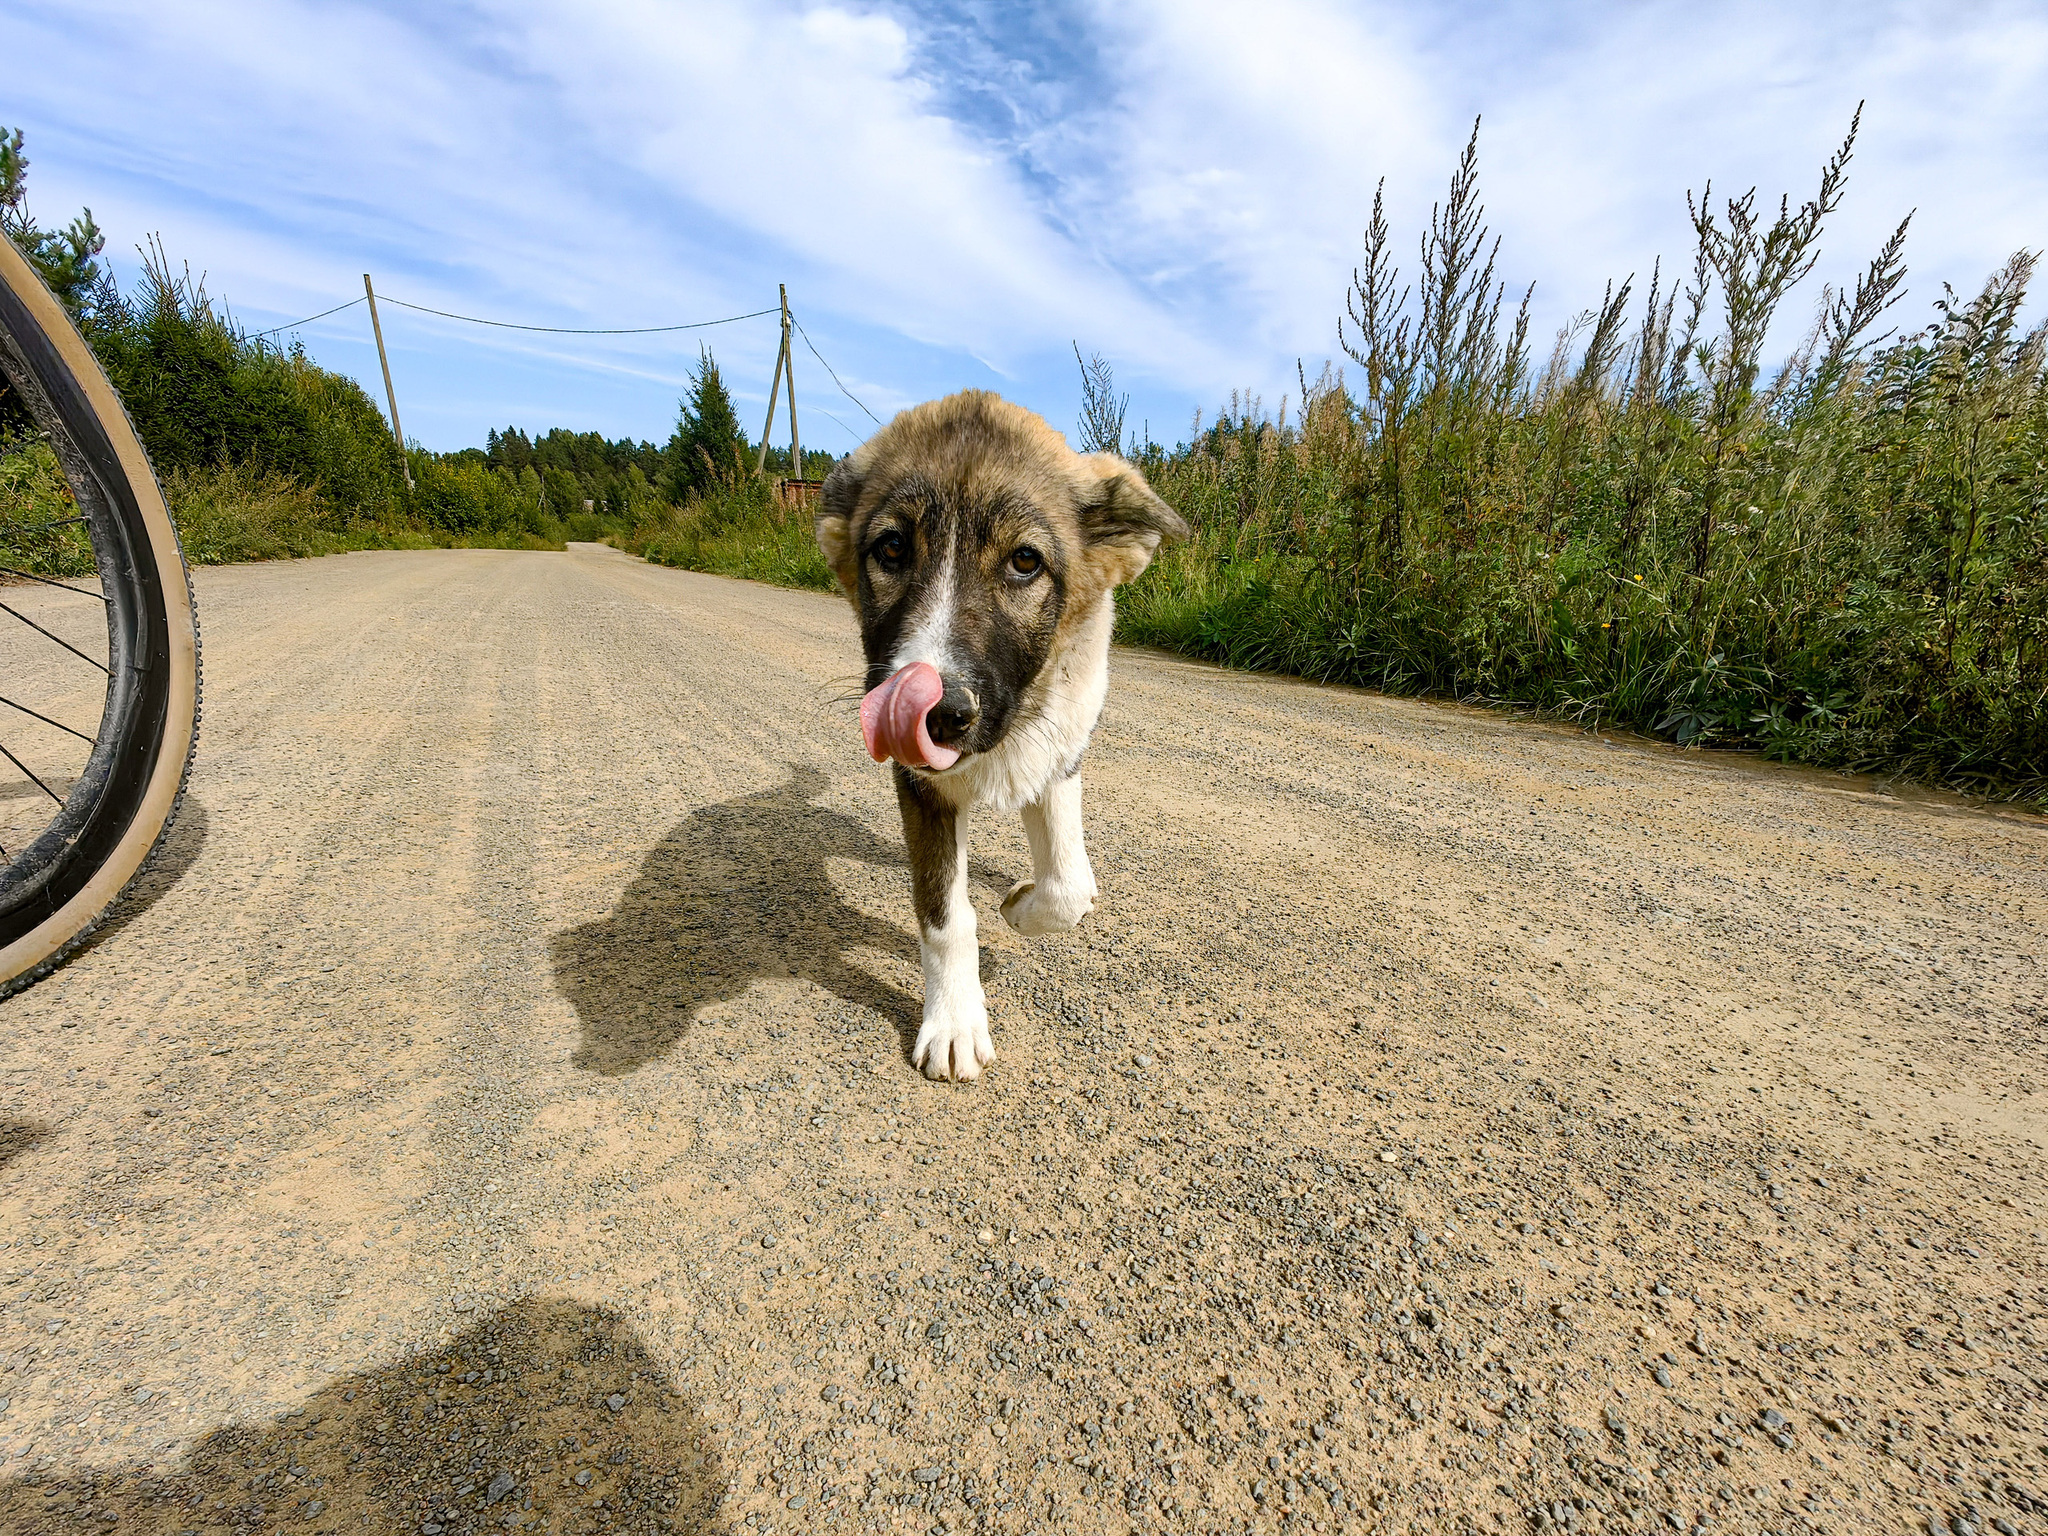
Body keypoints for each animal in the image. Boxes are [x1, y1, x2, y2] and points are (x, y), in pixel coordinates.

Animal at [811, 387, 1187, 1081]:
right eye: (892, 548)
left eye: (1024, 561)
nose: (937, 713)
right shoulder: (921, 788)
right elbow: (945, 915)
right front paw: (955, 1021)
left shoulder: (1059, 754)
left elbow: (1067, 883)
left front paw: (1020, 906)